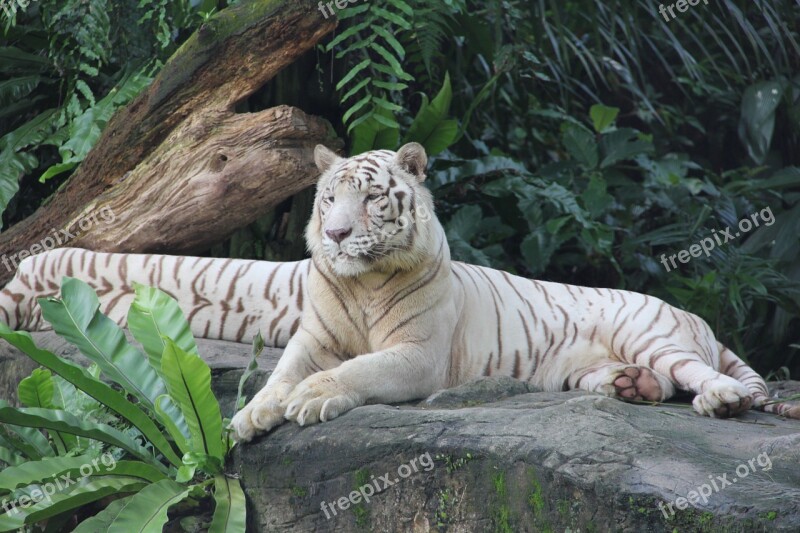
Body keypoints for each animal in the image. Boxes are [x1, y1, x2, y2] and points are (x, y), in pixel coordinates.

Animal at [1, 140, 792, 440]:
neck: (358, 285)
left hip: (653, 331)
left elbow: (355, 371)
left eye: (373, 198)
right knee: (651, 380)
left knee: (706, 377)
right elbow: (277, 376)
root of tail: (693, 315)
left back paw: (720, 401)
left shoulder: (415, 355)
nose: (338, 233)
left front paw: (309, 402)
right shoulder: (309, 337)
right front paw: (251, 416)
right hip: (592, 365)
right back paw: (631, 389)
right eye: (328, 198)